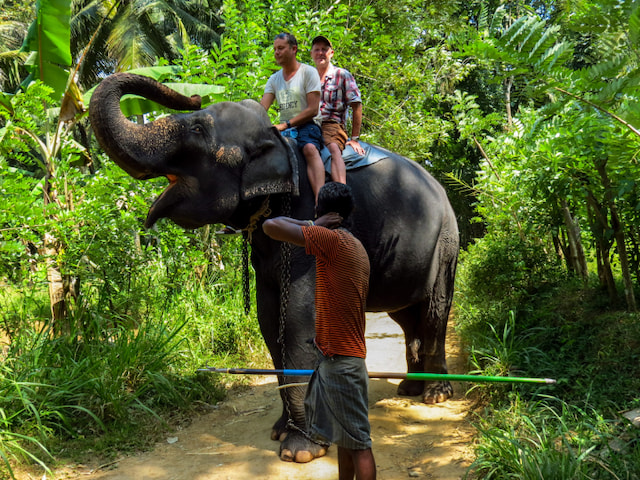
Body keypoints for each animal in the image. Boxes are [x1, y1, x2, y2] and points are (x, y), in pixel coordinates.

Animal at [89, 73, 459, 463]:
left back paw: (436, 395)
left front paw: (300, 451)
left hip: (447, 242)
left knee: (434, 311)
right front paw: (281, 431)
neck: (280, 142)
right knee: (406, 316)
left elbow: (297, 319)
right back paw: (408, 389)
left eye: (197, 128)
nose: (193, 97)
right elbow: (268, 318)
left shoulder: (309, 223)